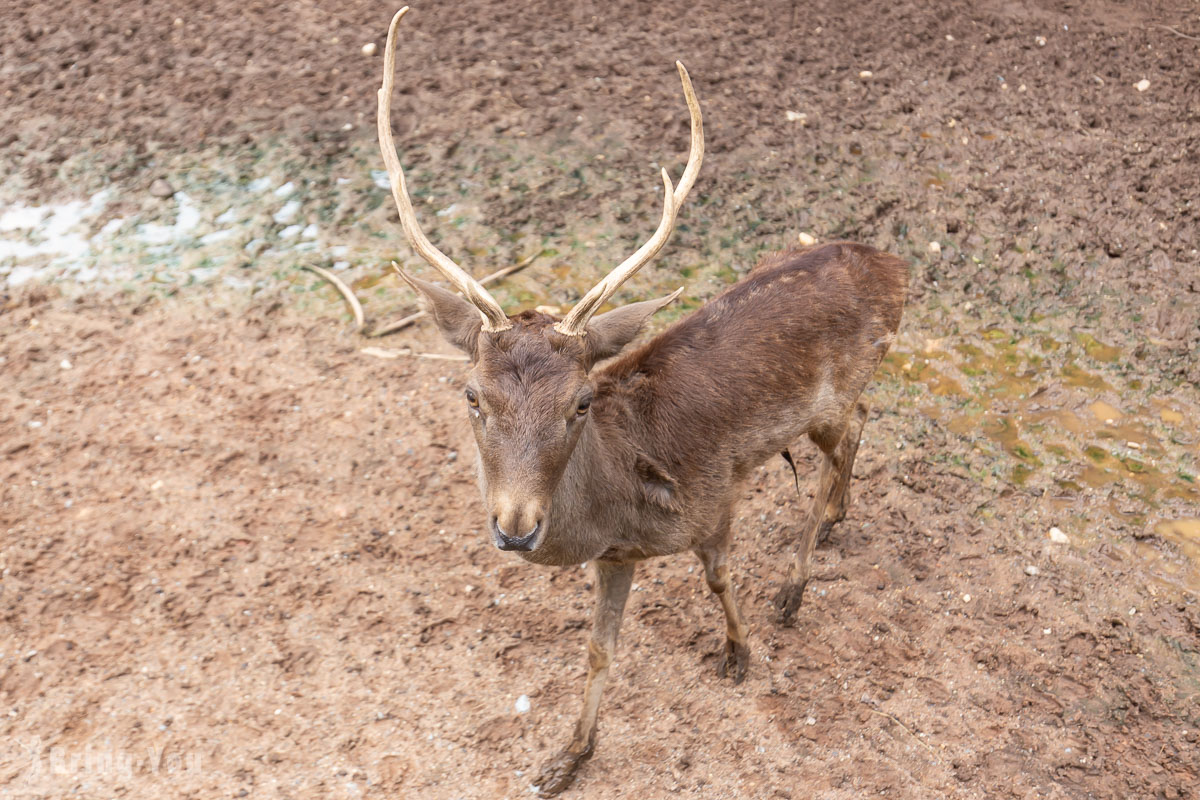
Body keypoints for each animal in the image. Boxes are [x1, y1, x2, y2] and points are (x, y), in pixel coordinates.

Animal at [374, 4, 907, 796]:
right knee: (860, 427)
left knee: (845, 436)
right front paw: (566, 758)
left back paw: (795, 587)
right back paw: (838, 519)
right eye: (471, 394)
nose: (516, 527)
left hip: (837, 389)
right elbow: (599, 650)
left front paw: (740, 653)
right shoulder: (616, 556)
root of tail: (896, 266)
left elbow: (719, 578)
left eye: (581, 402)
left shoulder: (715, 500)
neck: (620, 502)